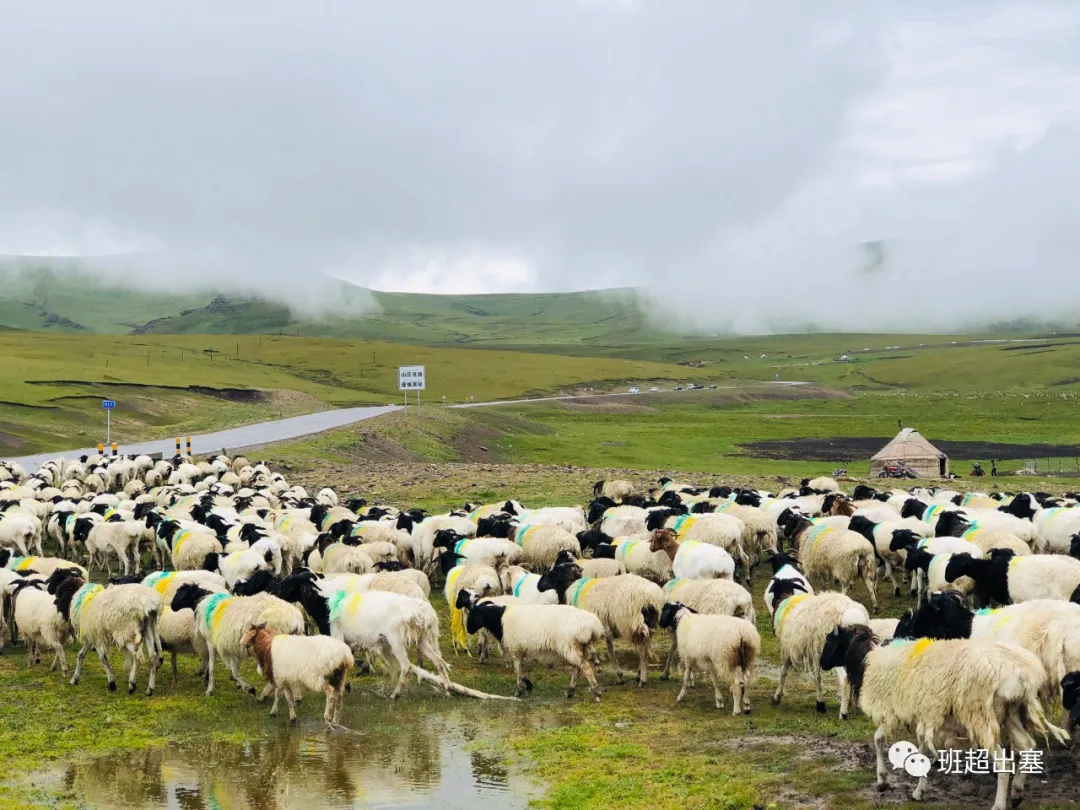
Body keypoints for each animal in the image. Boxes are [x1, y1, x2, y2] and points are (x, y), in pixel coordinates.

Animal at [464, 604, 604, 704]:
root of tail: (594, 627)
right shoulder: (520, 650)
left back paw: (596, 693)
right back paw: (570, 692)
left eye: (472, 614)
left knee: (585, 668)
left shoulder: (516, 649)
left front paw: (519, 690)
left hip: (570, 646)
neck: (499, 620)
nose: (468, 630)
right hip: (579, 648)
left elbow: (518, 669)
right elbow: (520, 669)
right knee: (577, 669)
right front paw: (527, 684)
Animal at [768, 578, 868, 717]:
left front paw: (777, 696)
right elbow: (817, 676)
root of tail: (854, 617)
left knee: (844, 680)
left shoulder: (790, 647)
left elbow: (785, 672)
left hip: (836, 655)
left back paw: (843, 713)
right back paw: (854, 705)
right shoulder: (814, 650)